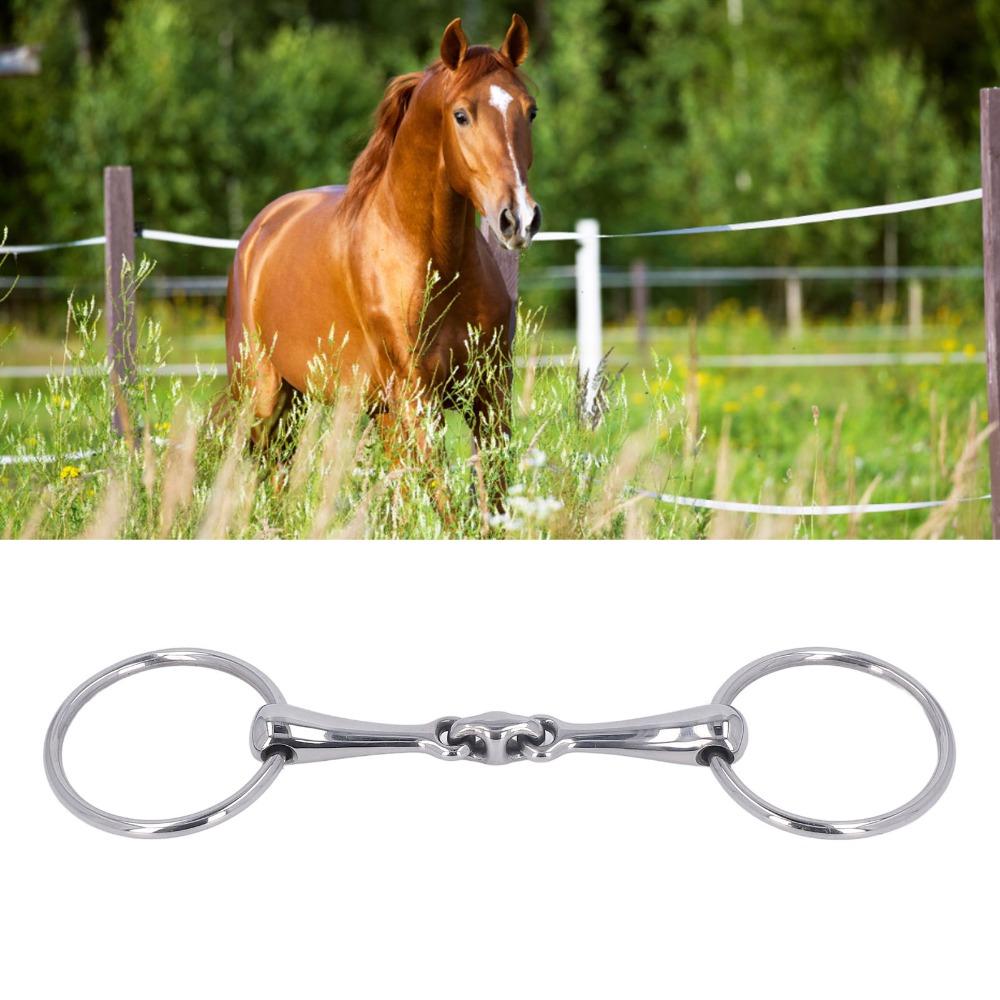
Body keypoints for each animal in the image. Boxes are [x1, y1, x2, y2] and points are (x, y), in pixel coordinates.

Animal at [224, 15, 541, 512]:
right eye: (461, 115)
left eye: (530, 111)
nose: (519, 219)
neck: (434, 264)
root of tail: (261, 230)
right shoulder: (418, 399)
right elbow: (445, 503)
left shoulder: (489, 395)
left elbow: (492, 498)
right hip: (264, 396)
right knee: (265, 472)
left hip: (347, 406)